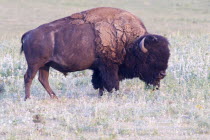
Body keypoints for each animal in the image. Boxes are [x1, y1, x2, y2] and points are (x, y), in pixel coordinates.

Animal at [20, 7, 170, 100]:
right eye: (149, 59)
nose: (162, 74)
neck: (129, 43)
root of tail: (29, 33)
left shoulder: (99, 68)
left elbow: (100, 82)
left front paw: (101, 95)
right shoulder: (109, 66)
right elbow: (111, 83)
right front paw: (115, 94)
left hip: (45, 65)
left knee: (43, 79)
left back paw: (55, 97)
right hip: (35, 64)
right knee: (29, 78)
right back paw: (28, 98)